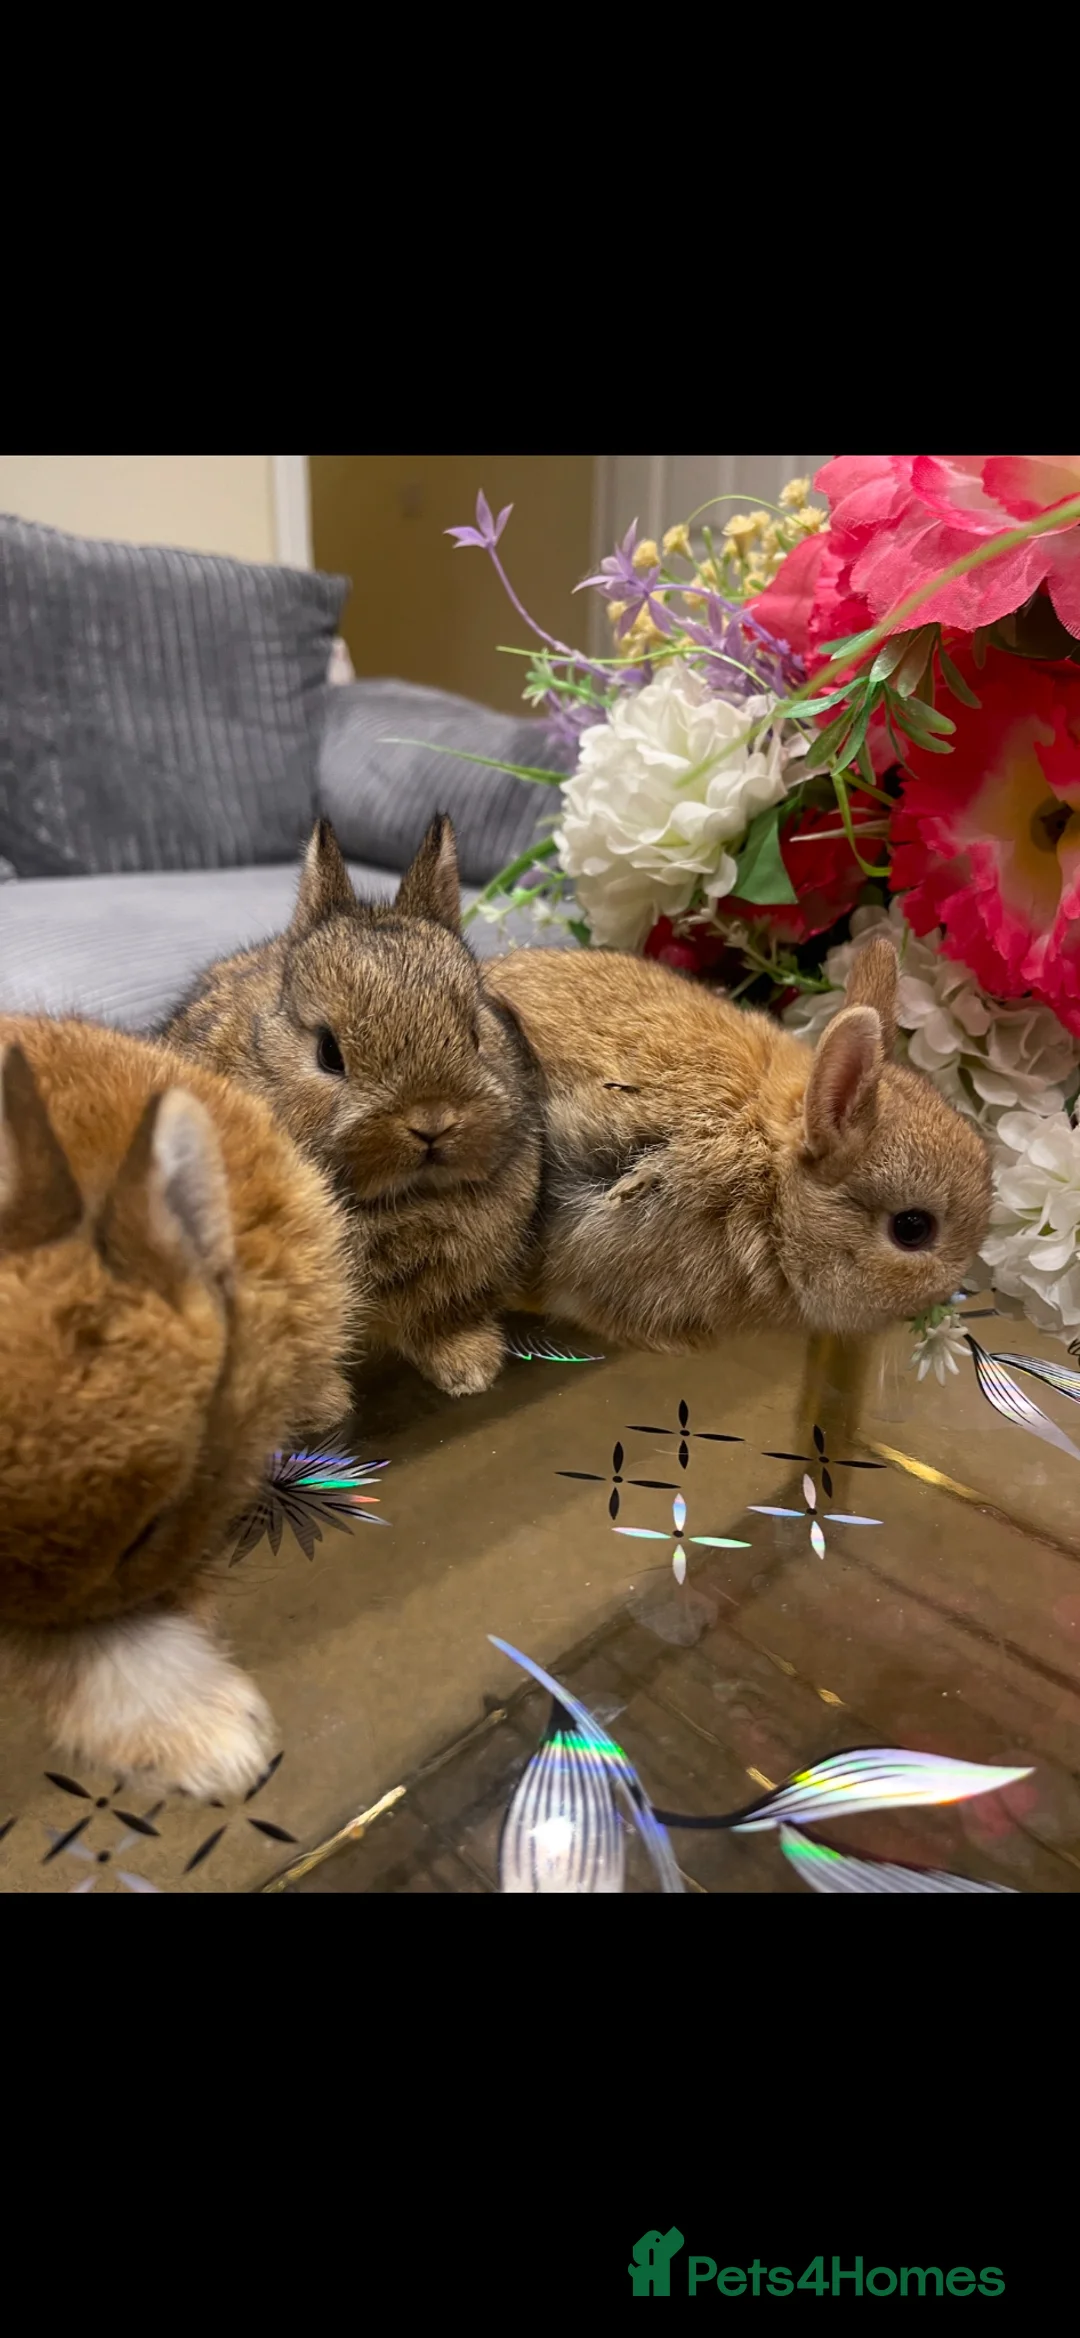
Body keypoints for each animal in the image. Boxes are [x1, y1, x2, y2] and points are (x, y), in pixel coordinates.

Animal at [163, 813, 544, 1398]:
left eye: (477, 1034)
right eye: (328, 1052)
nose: (432, 1122)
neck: (399, 1201)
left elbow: (440, 1322)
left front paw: (470, 1369)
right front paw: (326, 1405)